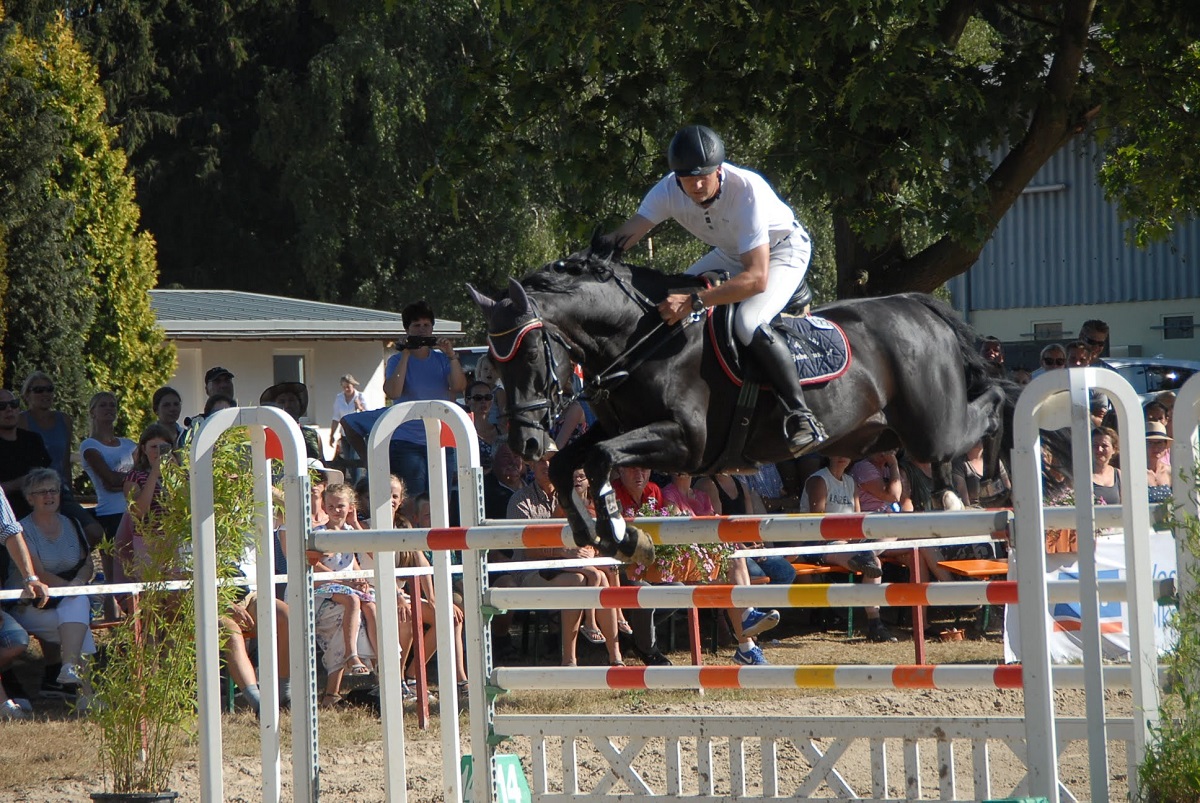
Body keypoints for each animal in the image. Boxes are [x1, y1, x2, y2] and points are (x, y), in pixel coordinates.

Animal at [463, 235, 1008, 561]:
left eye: (530, 353)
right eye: (493, 362)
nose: (526, 444)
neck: (641, 338)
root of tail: (918, 307)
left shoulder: (686, 442)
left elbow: (598, 459)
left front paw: (623, 536)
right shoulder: (618, 427)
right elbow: (568, 464)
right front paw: (595, 533)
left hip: (929, 428)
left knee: (993, 406)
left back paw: (983, 483)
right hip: (878, 437)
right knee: (952, 441)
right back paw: (955, 492)